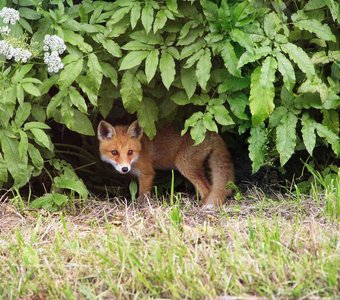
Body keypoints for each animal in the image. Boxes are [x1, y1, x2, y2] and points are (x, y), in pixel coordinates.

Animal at [97, 119, 234, 206]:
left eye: (130, 152)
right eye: (114, 152)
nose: (125, 169)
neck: (140, 151)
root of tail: (211, 131)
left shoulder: (147, 173)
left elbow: (142, 195)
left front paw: (141, 208)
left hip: (184, 164)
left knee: (207, 189)